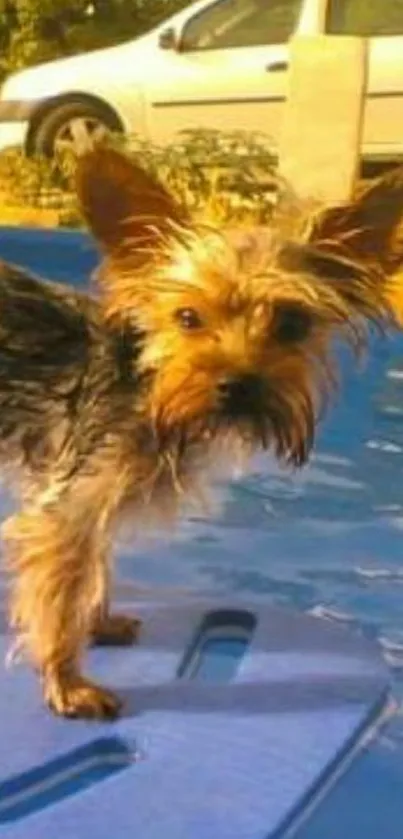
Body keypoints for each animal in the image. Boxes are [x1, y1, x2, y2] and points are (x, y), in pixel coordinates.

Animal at [0, 146, 402, 720]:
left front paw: (99, 621)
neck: (153, 388)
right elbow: (60, 594)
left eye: (293, 324)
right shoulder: (67, 505)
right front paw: (69, 684)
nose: (238, 382)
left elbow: (96, 561)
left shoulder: (91, 494)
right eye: (188, 317)